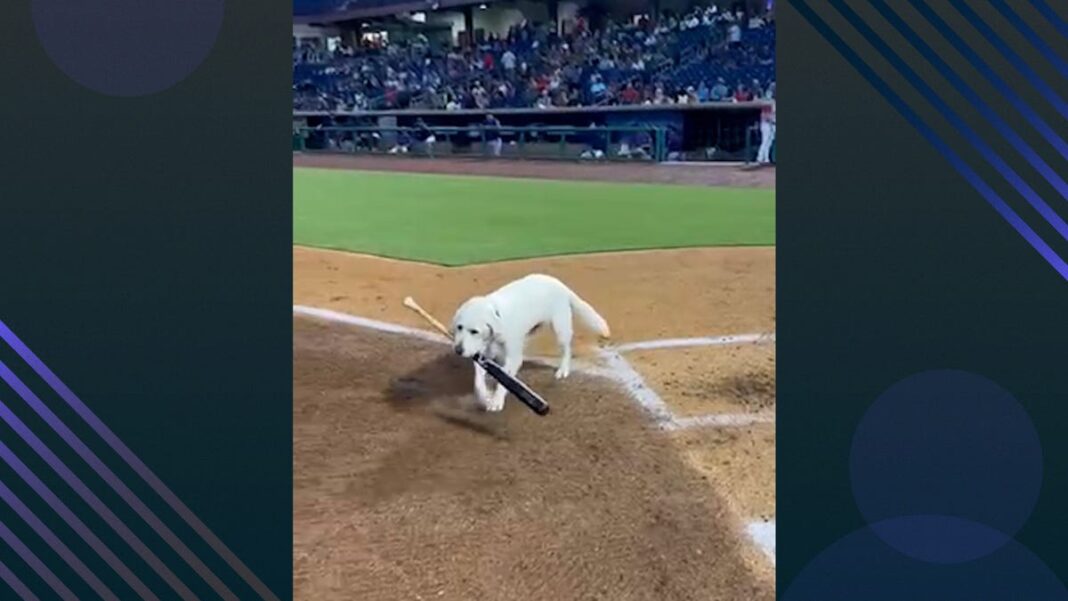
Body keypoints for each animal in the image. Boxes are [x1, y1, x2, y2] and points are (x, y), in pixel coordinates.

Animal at [450, 273, 610, 412]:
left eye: (474, 331)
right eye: (459, 327)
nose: (458, 350)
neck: (498, 317)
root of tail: (558, 283)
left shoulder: (511, 357)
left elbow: (504, 381)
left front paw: (496, 401)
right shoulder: (483, 357)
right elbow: (478, 383)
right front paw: (485, 397)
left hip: (560, 329)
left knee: (567, 350)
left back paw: (563, 370)